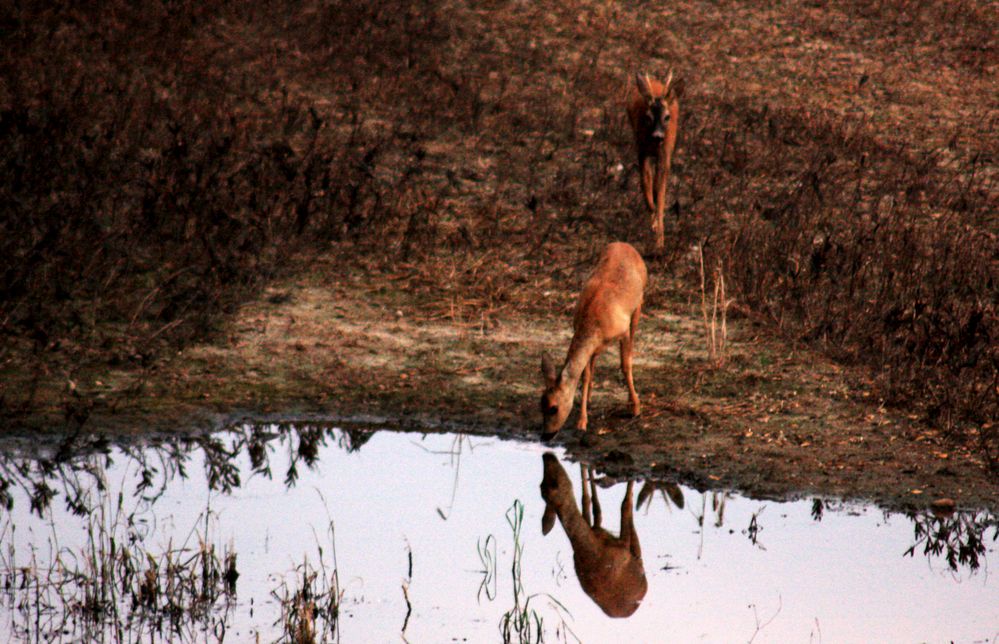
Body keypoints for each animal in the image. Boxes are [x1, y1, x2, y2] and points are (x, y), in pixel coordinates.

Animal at [540, 239, 648, 440]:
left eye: (553, 408)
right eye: (540, 405)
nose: (545, 436)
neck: (593, 321)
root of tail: (625, 244)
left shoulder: (622, 331)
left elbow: (625, 364)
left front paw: (635, 407)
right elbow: (586, 375)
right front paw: (582, 421)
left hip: (639, 303)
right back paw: (590, 398)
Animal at [540, 452, 648, 620]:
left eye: (554, 484)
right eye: (541, 486)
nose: (547, 456)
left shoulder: (624, 548)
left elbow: (625, 505)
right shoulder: (594, 529)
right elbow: (587, 500)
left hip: (636, 557)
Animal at [628, 69, 684, 252]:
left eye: (667, 117)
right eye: (648, 117)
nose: (658, 136)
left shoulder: (665, 155)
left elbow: (660, 196)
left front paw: (660, 240)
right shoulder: (642, 151)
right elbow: (646, 186)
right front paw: (652, 221)